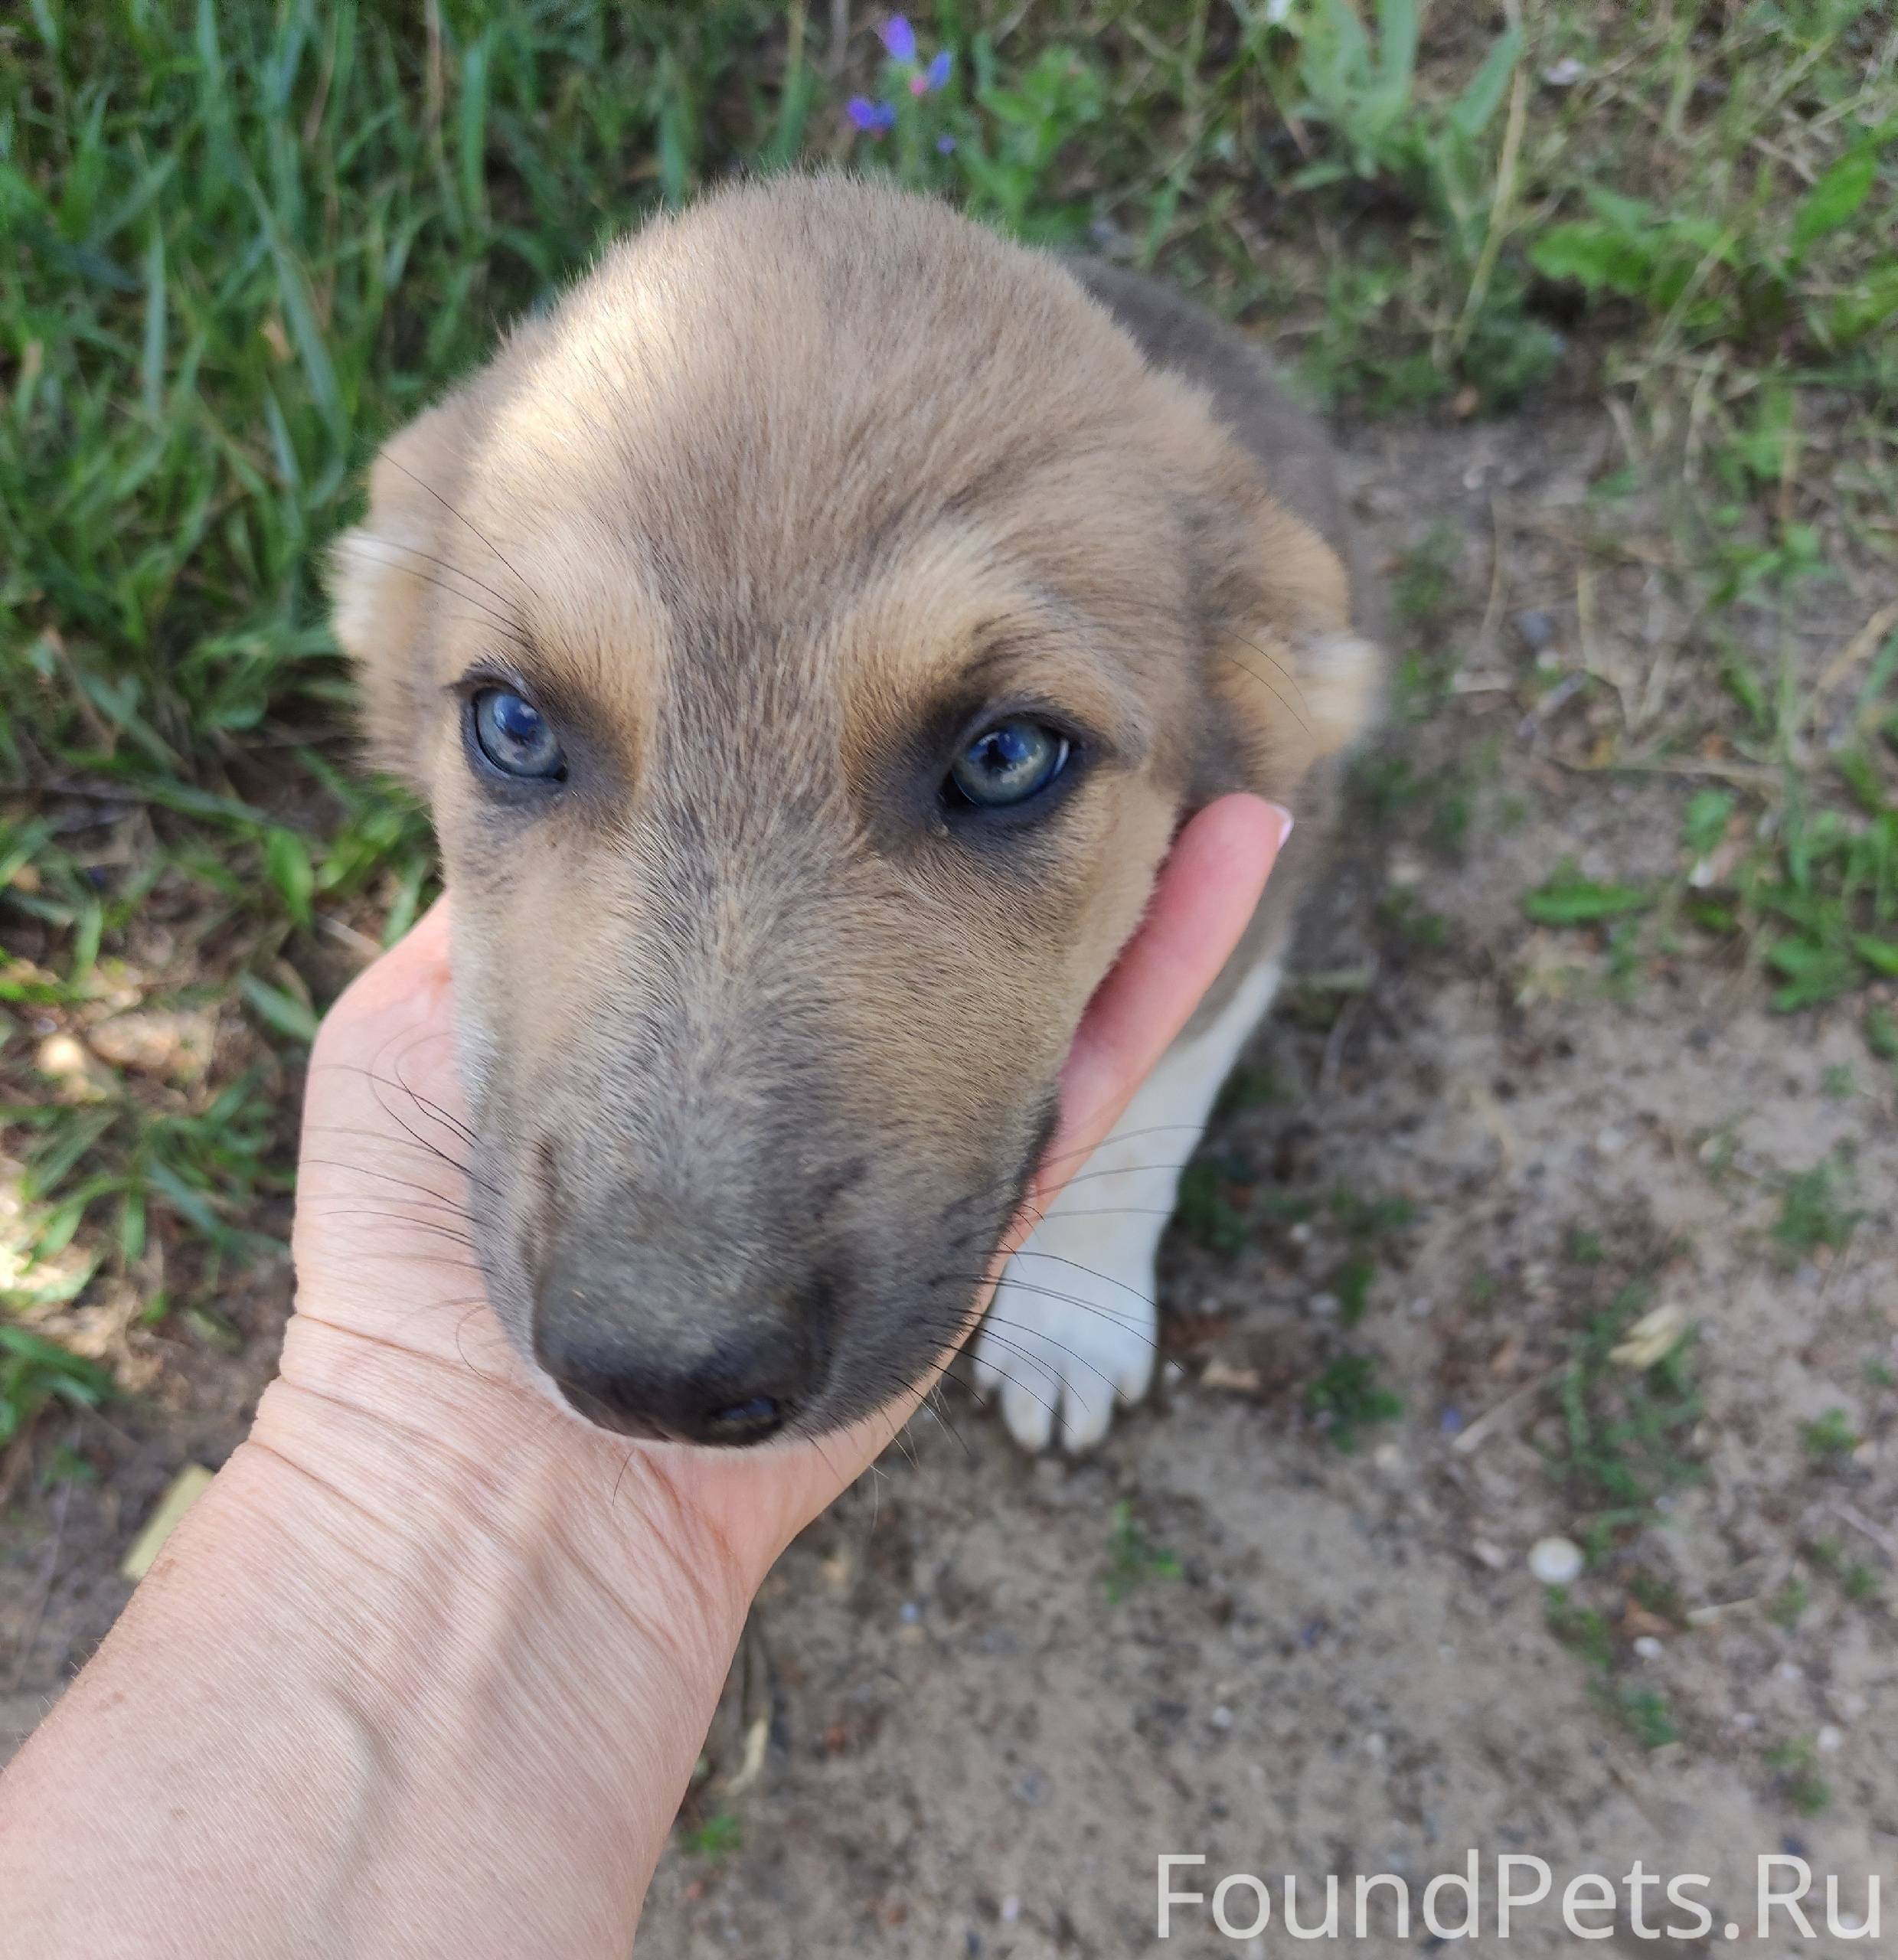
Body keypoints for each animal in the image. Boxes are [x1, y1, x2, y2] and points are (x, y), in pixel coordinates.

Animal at [333, 172, 1380, 1458]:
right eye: (515, 727)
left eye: (1005, 757)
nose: (656, 1377)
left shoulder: (1250, 911)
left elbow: (1143, 1129)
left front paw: (1067, 1326)